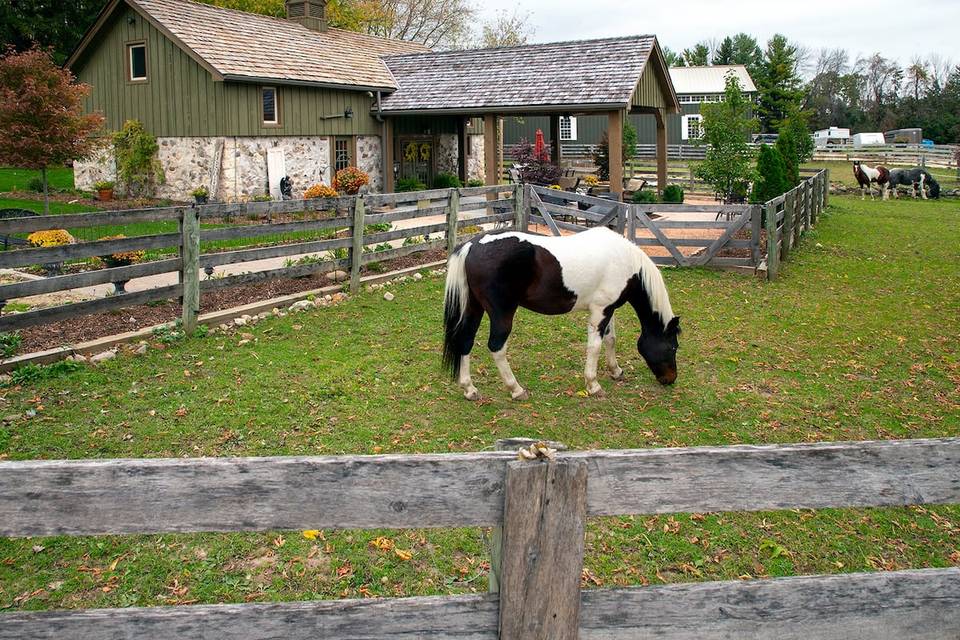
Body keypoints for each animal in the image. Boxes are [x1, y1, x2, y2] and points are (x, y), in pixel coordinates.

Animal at [444, 226, 684, 400]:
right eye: (672, 346)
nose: (670, 379)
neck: (625, 262)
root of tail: (472, 246)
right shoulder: (600, 311)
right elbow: (595, 347)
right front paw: (593, 385)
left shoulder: (609, 309)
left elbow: (611, 339)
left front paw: (616, 371)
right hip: (502, 314)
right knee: (496, 347)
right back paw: (516, 389)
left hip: (474, 308)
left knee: (465, 341)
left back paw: (469, 389)